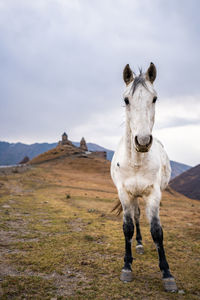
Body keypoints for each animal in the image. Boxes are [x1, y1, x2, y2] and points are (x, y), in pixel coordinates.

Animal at [111, 62, 178, 292]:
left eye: (154, 98)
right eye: (126, 100)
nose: (142, 141)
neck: (137, 162)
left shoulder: (153, 194)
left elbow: (157, 231)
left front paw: (167, 274)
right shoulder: (125, 194)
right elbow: (127, 228)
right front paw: (126, 267)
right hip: (133, 197)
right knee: (137, 217)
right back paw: (138, 245)